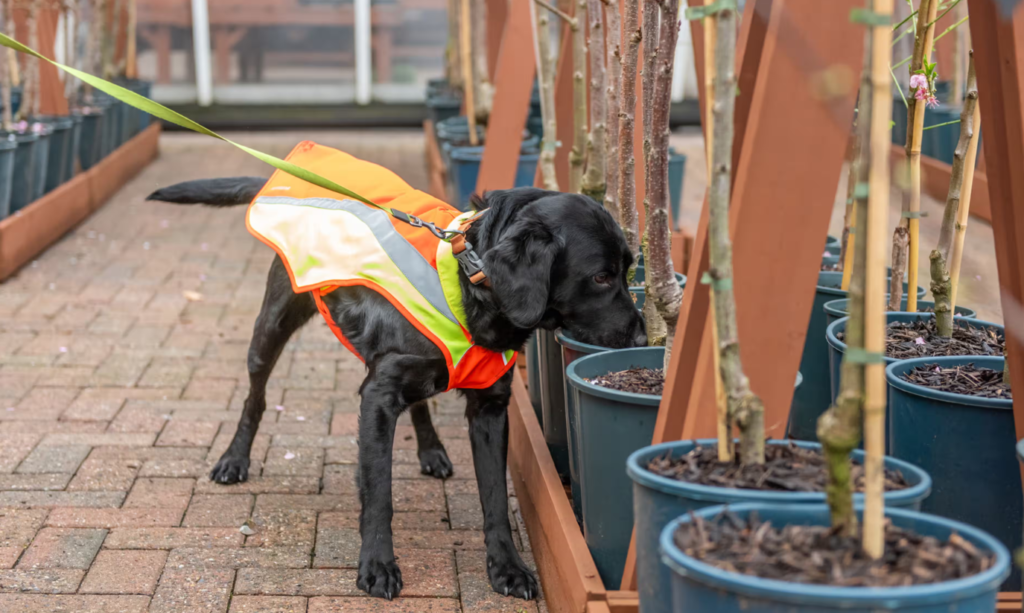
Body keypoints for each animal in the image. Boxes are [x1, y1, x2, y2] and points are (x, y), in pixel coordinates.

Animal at [148, 181, 643, 597]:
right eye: (600, 276)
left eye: (628, 270)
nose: (643, 339)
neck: (469, 281)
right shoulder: (377, 399)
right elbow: (378, 493)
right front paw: (377, 566)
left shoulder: (490, 407)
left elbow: (496, 499)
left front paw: (508, 568)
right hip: (271, 328)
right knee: (256, 397)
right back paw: (234, 459)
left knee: (419, 404)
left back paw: (432, 450)